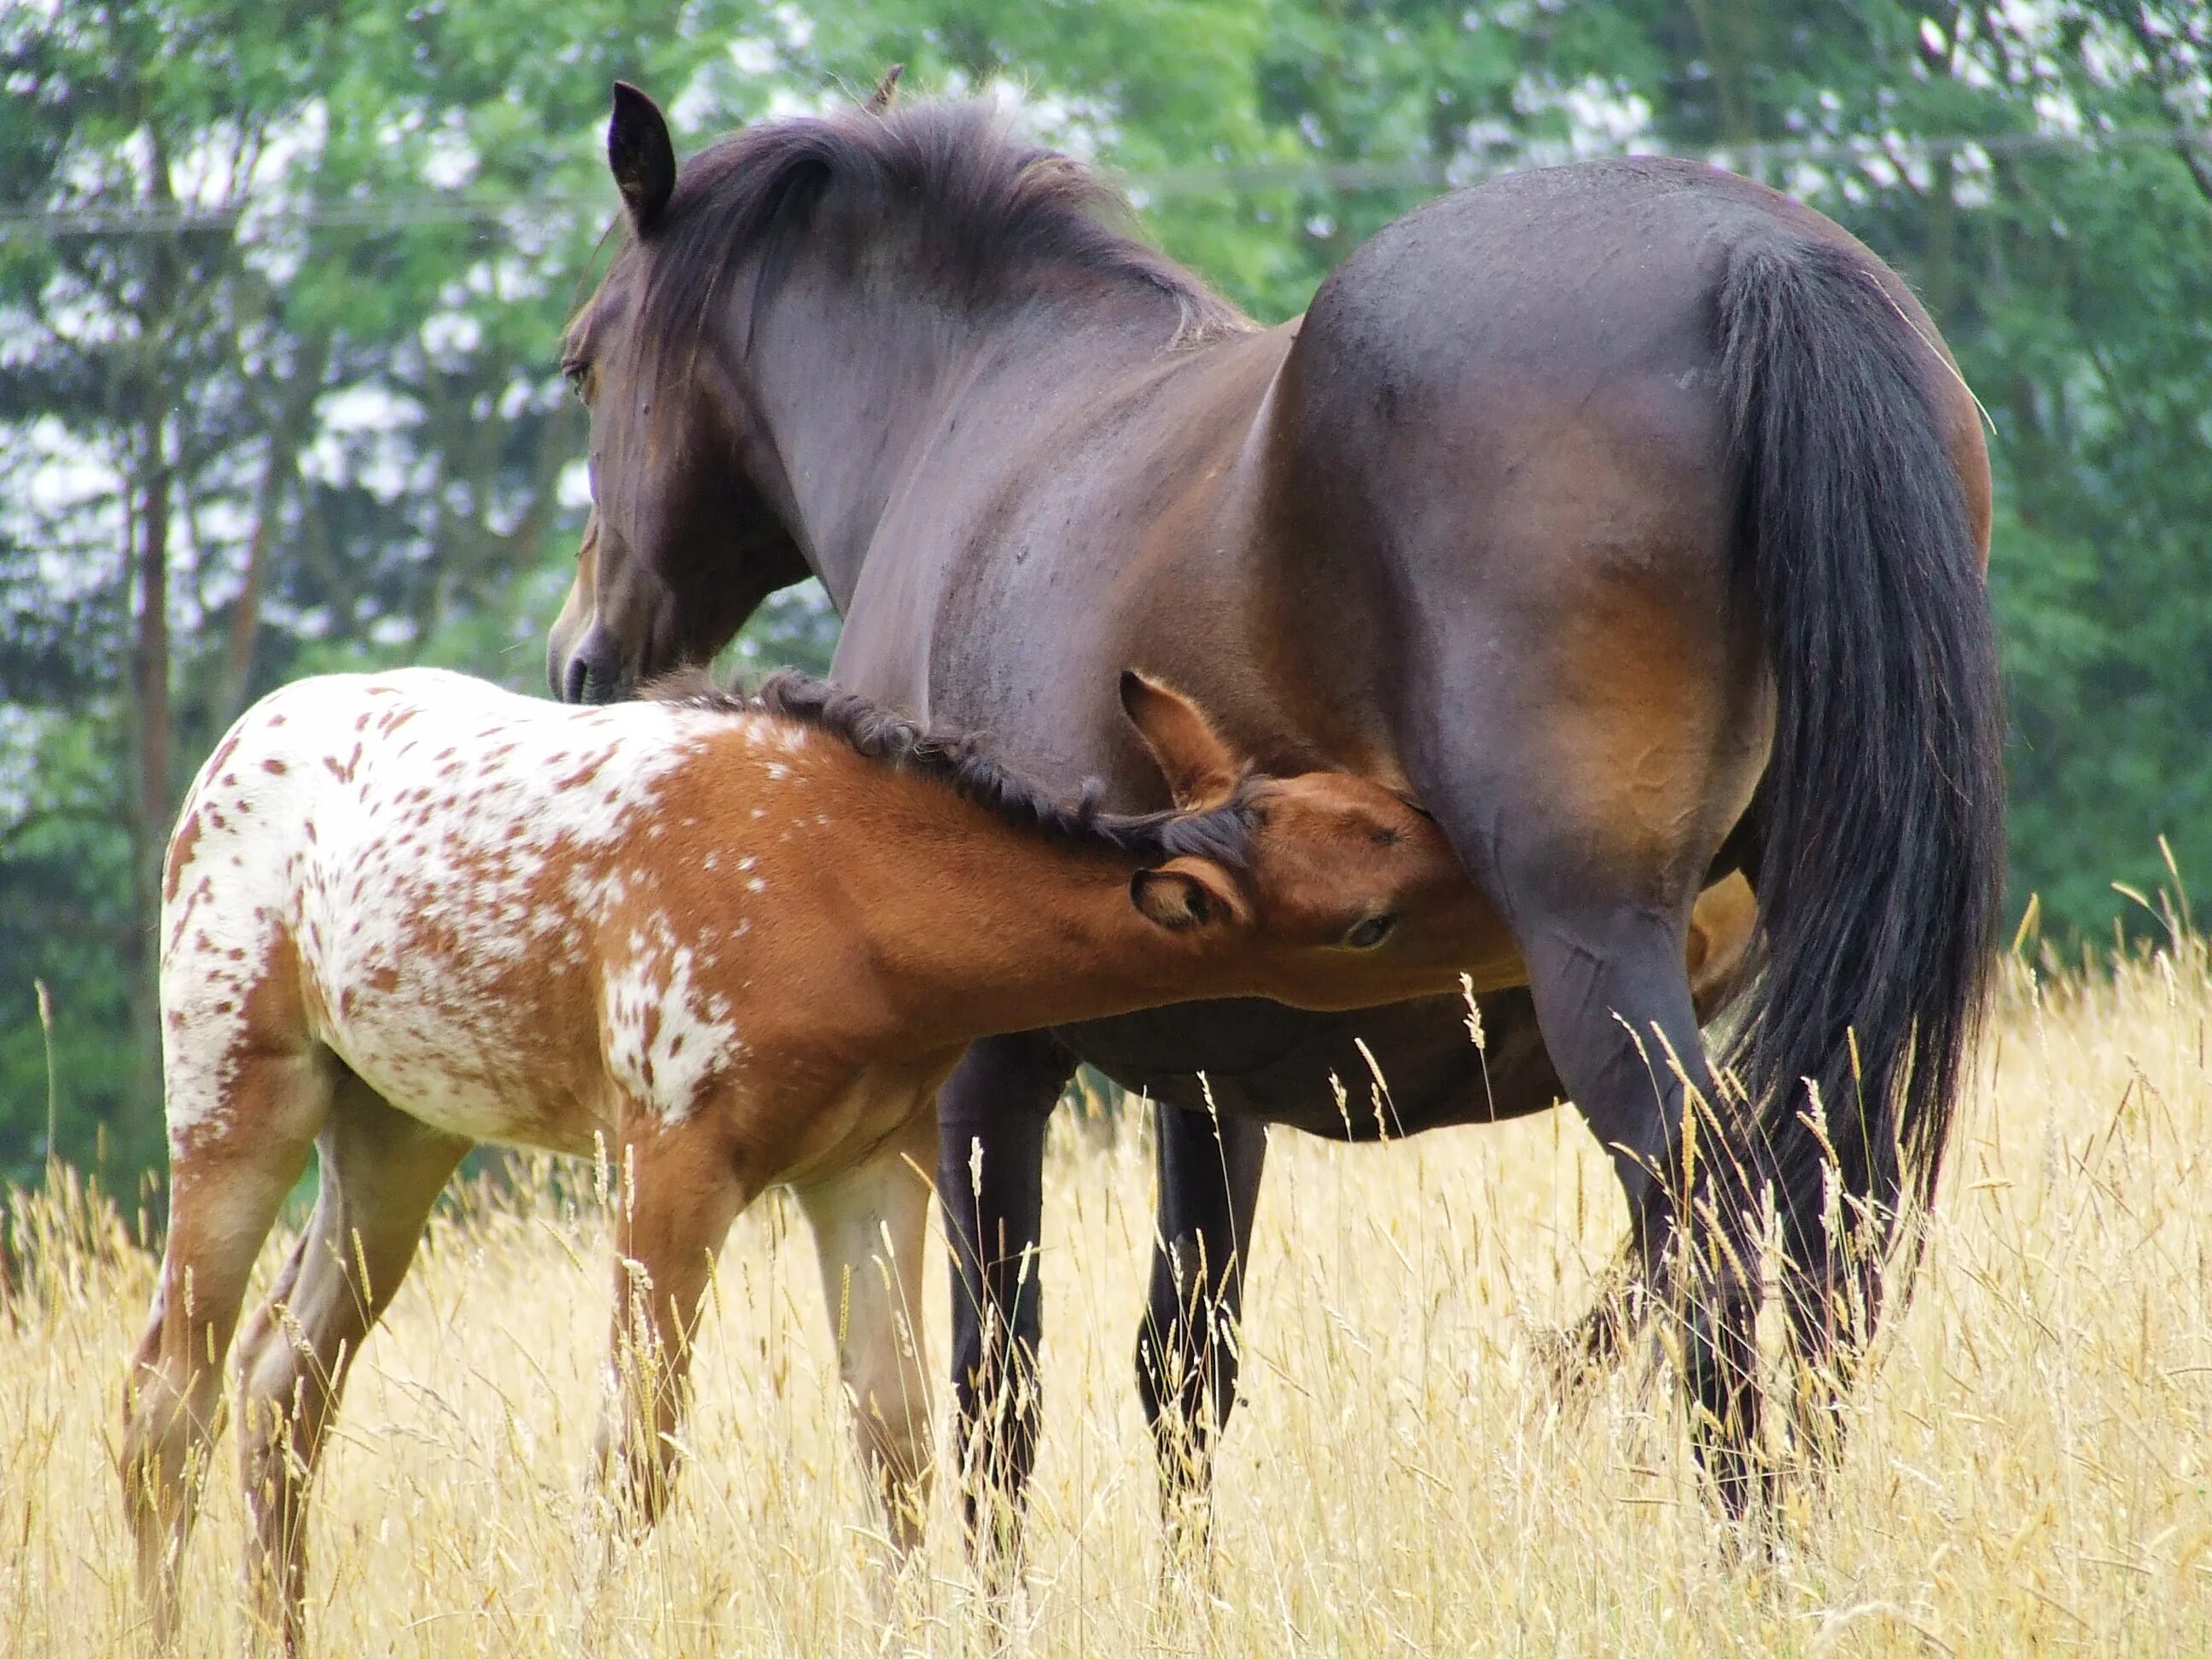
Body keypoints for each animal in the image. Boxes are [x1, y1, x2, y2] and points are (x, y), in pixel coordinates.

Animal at [129, 667, 1495, 1654]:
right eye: (1368, 925)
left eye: (1376, 801)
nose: (1496, 887)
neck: (845, 899)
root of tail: (224, 757)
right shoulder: (670, 1151)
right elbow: (639, 1453)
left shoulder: (870, 1162)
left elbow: (895, 1442)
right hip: (236, 1087)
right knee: (170, 1395)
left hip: (397, 1128)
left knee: (281, 1385)